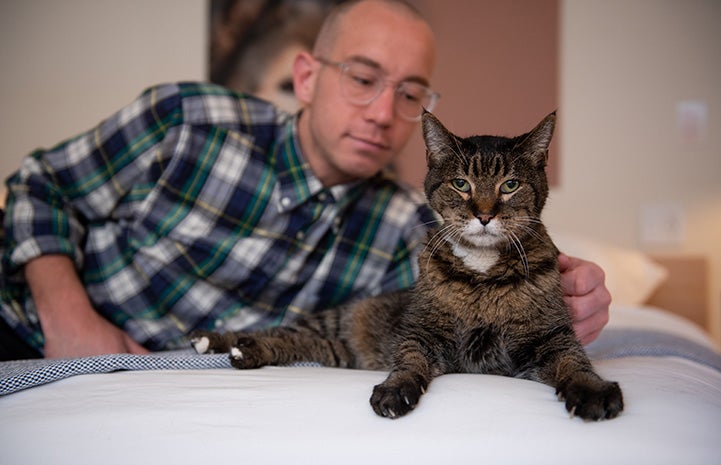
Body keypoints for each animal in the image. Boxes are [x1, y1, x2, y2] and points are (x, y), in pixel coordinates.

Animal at [188, 111, 620, 420]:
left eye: (510, 185)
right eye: (461, 184)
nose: (483, 215)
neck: (481, 272)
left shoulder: (550, 337)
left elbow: (574, 362)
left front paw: (593, 391)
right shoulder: (420, 333)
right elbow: (409, 362)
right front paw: (397, 390)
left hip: (335, 350)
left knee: (296, 342)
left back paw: (247, 351)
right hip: (332, 321)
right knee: (281, 329)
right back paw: (218, 340)